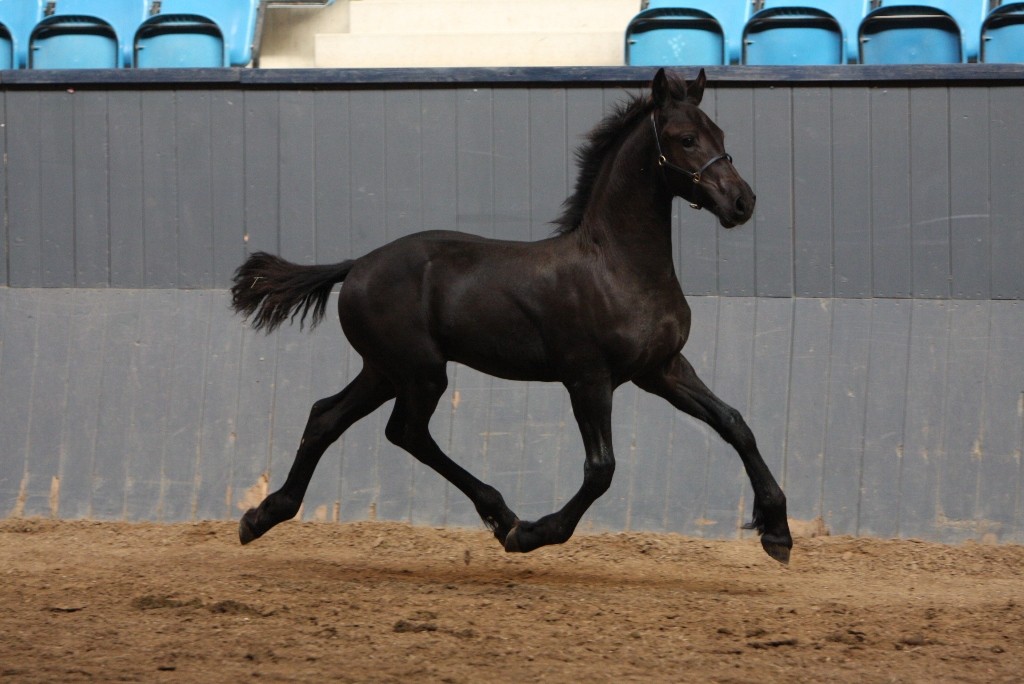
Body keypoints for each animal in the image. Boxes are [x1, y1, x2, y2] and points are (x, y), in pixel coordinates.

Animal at [232, 68, 790, 561]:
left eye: (720, 133)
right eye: (685, 138)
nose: (742, 201)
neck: (618, 265)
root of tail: (356, 265)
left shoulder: (662, 369)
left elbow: (735, 424)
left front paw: (778, 532)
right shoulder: (588, 378)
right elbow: (601, 469)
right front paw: (536, 533)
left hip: (385, 370)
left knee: (328, 417)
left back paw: (261, 516)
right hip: (419, 371)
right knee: (405, 432)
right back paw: (505, 518)